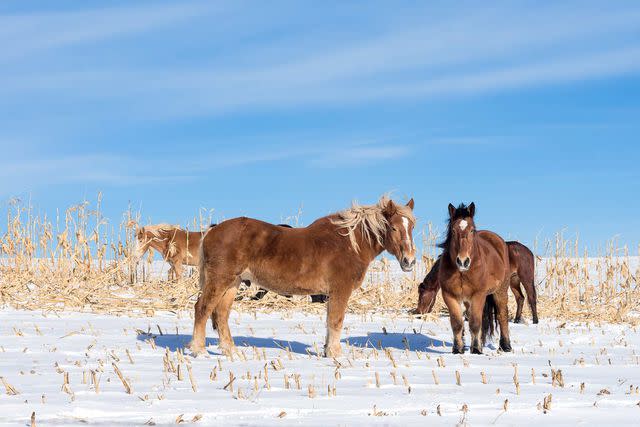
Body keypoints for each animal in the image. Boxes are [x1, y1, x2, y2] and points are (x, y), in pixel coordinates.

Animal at [188, 197, 418, 358]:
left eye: (412, 227)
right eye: (394, 227)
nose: (409, 261)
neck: (349, 244)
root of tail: (212, 230)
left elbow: (330, 322)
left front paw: (328, 351)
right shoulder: (340, 291)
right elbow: (336, 321)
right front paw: (336, 355)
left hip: (232, 284)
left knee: (220, 314)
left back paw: (230, 351)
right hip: (220, 280)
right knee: (202, 309)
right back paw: (199, 350)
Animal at [438, 203, 512, 354]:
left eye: (472, 230)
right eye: (453, 230)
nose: (463, 261)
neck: (462, 272)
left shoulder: (478, 295)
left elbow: (475, 323)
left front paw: (476, 350)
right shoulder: (449, 295)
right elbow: (457, 323)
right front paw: (458, 349)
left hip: (500, 291)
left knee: (502, 315)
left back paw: (505, 346)